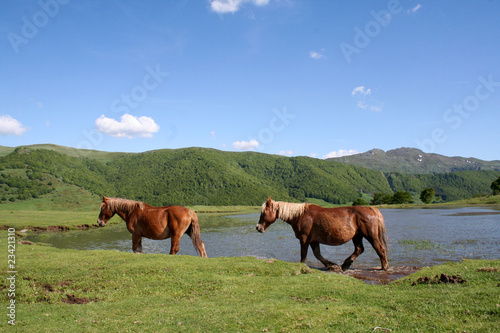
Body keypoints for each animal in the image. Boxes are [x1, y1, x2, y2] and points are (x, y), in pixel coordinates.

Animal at [256, 197, 388, 270]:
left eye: (263, 213)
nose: (258, 227)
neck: (300, 215)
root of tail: (371, 209)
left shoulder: (304, 239)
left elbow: (304, 254)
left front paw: (302, 266)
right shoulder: (313, 241)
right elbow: (318, 254)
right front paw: (332, 265)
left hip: (370, 236)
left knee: (380, 249)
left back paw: (384, 267)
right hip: (357, 236)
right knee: (359, 249)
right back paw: (345, 264)